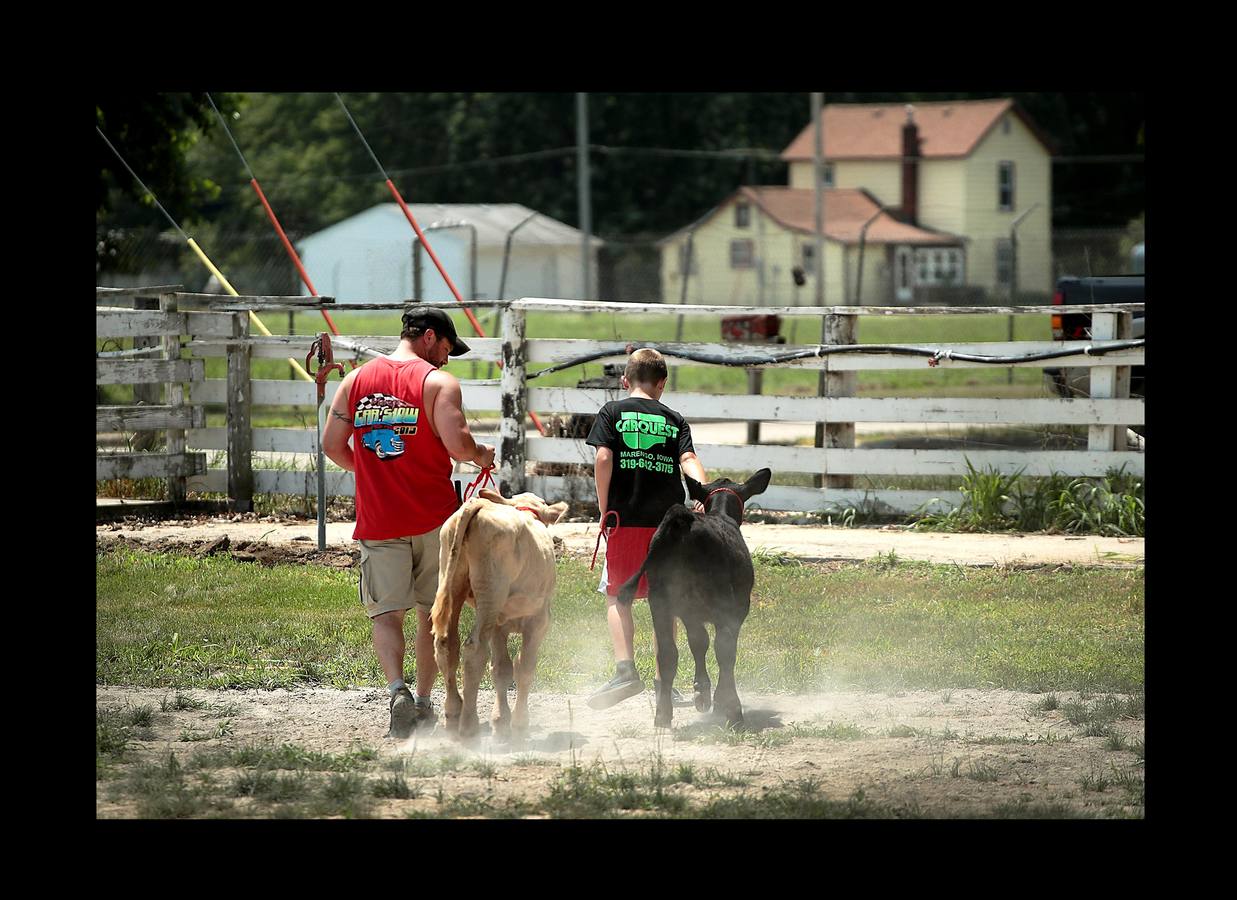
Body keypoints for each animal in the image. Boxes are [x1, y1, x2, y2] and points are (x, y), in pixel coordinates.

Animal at [432, 492, 566, 736]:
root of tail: (480, 505)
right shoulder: (539, 621)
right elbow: (524, 667)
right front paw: (519, 722)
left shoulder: (498, 625)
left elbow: (501, 669)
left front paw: (501, 720)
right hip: (491, 591)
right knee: (474, 650)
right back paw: (468, 725)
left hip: (453, 580)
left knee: (447, 644)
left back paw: (454, 712)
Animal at [613, 467, 766, 726]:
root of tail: (681, 521)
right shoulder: (736, 610)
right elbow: (719, 649)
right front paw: (715, 699)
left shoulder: (689, 615)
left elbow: (698, 643)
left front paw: (701, 693)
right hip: (722, 604)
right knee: (724, 649)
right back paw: (733, 712)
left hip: (661, 602)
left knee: (667, 654)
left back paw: (663, 715)